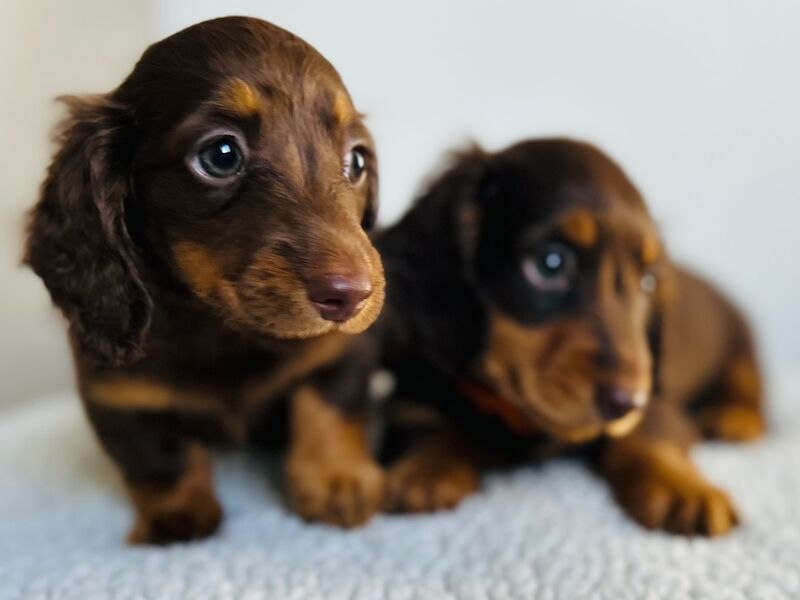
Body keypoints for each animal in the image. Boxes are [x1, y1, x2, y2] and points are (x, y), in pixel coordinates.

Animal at [23, 17, 386, 544]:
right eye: (220, 154)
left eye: (356, 160)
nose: (351, 297)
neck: (220, 329)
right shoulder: (115, 396)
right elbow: (156, 457)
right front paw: (176, 513)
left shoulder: (344, 352)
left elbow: (326, 406)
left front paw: (336, 479)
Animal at [354, 139, 764, 536]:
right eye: (551, 263)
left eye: (648, 281)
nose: (627, 402)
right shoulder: (412, 394)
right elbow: (432, 425)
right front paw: (423, 471)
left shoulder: (659, 402)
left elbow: (650, 433)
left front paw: (682, 489)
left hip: (740, 348)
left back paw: (734, 419)